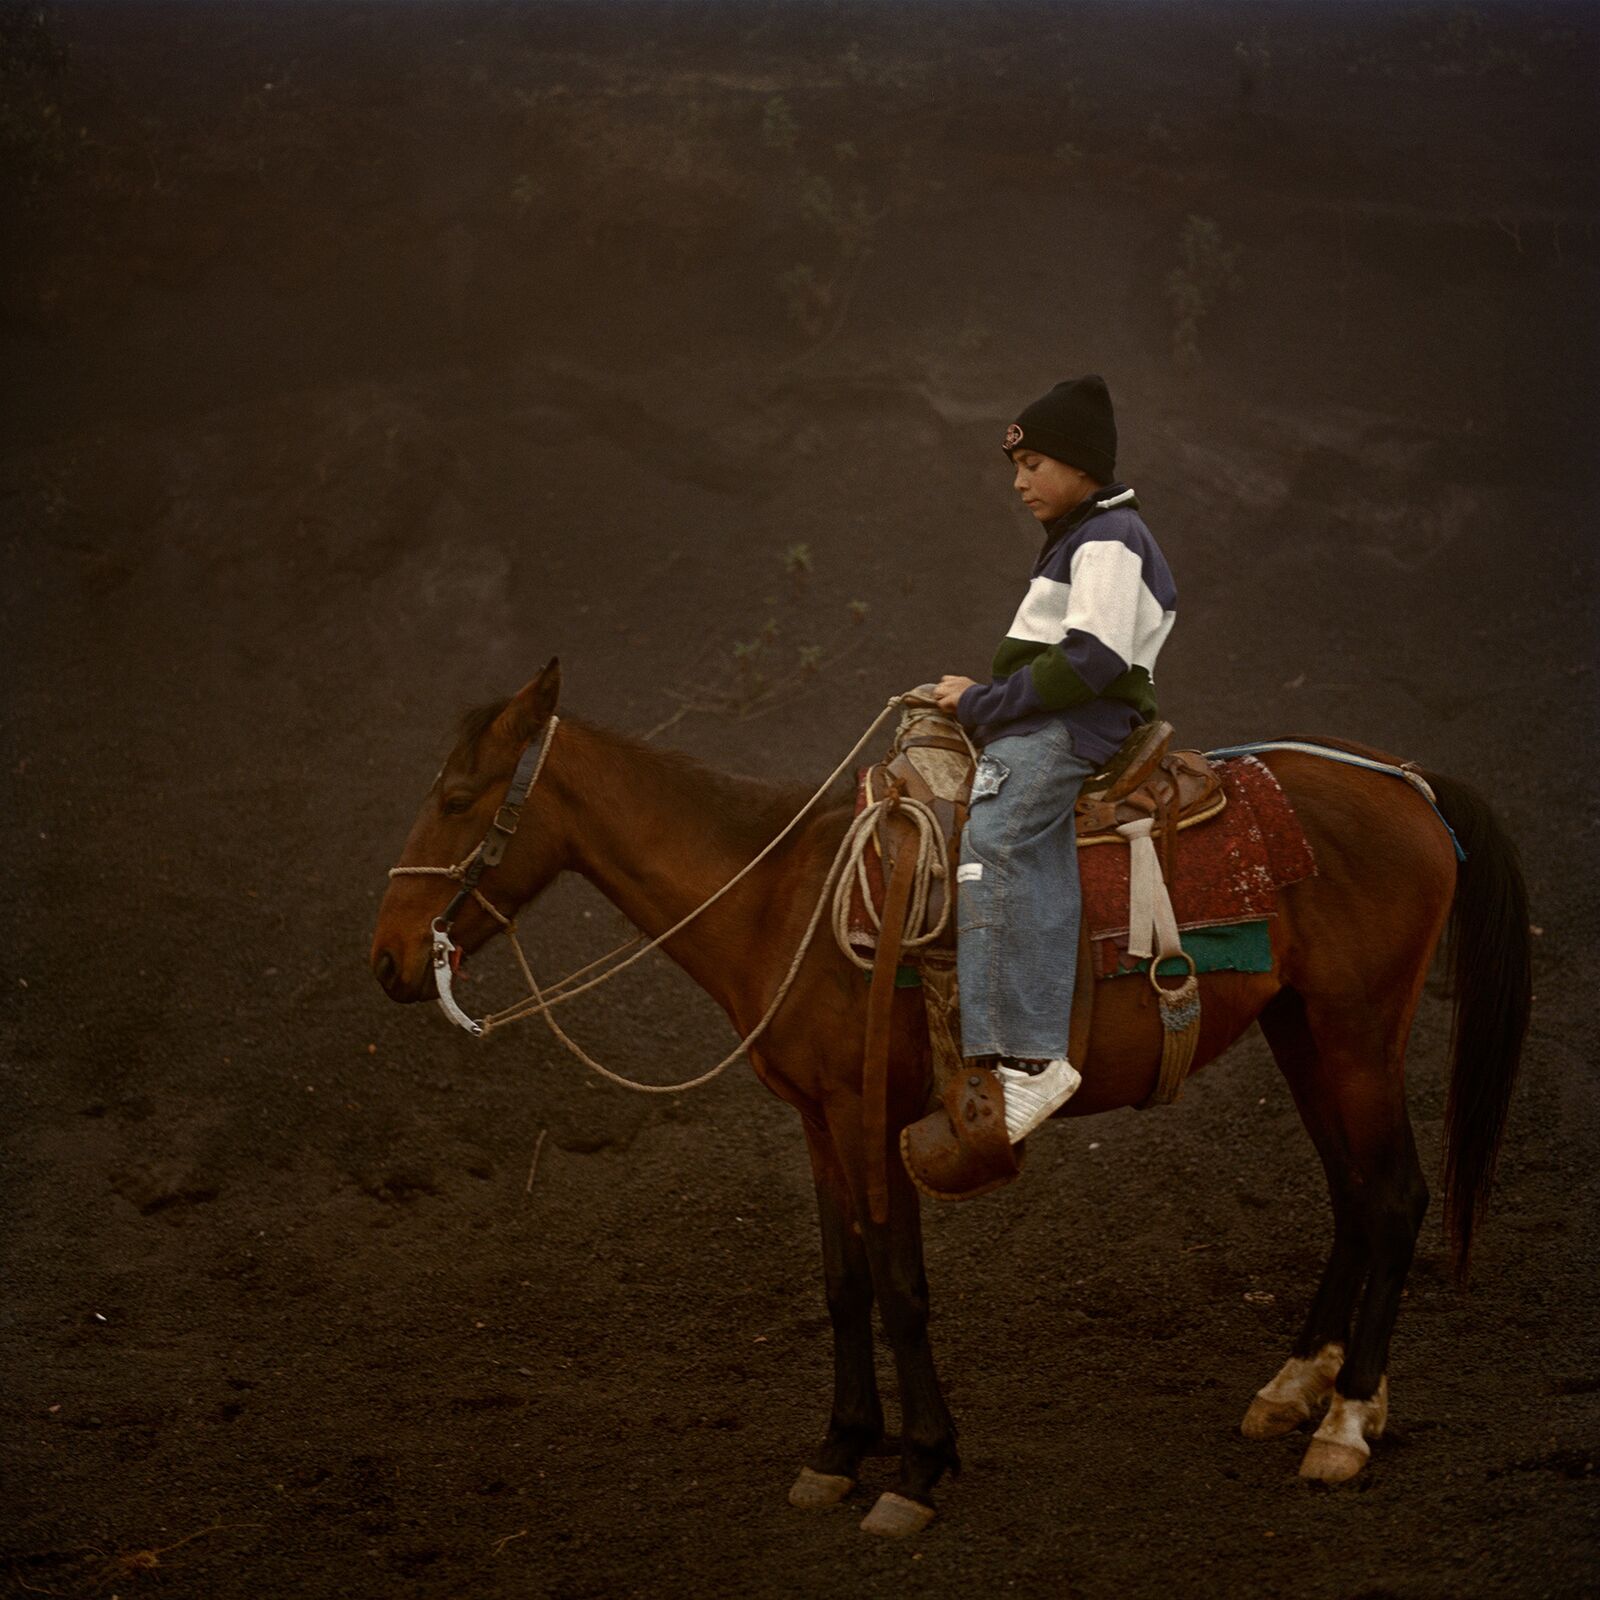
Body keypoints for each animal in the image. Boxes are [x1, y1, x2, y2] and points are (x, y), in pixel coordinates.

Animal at [368, 659, 1529, 1536]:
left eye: (461, 799)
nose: (387, 958)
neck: (783, 896)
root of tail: (1405, 781)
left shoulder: (870, 1115)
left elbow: (900, 1287)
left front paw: (919, 1468)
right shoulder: (817, 1121)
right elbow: (844, 1284)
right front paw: (839, 1450)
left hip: (1357, 1033)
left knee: (1394, 1198)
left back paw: (1344, 1425)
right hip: (1304, 1031)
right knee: (1354, 1196)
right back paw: (1296, 1390)